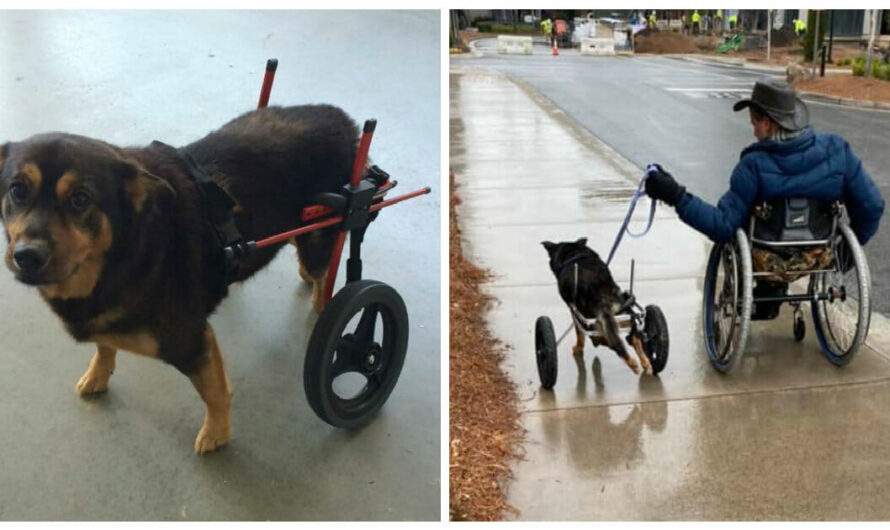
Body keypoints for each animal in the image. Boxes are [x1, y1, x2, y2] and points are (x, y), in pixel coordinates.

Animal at [0, 59, 426, 452]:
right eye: (17, 190)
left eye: (80, 200)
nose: (26, 256)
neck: (127, 248)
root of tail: (344, 120)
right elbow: (105, 347)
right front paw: (98, 375)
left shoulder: (193, 339)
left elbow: (216, 393)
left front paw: (217, 433)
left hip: (326, 231)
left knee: (331, 272)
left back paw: (325, 302)